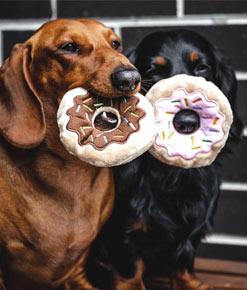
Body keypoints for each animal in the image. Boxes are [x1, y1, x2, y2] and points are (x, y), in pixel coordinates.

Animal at [87, 29, 243, 290]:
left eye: (202, 67)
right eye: (153, 71)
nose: (187, 122)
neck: (171, 172)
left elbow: (183, 260)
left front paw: (188, 283)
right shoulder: (123, 231)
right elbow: (130, 271)